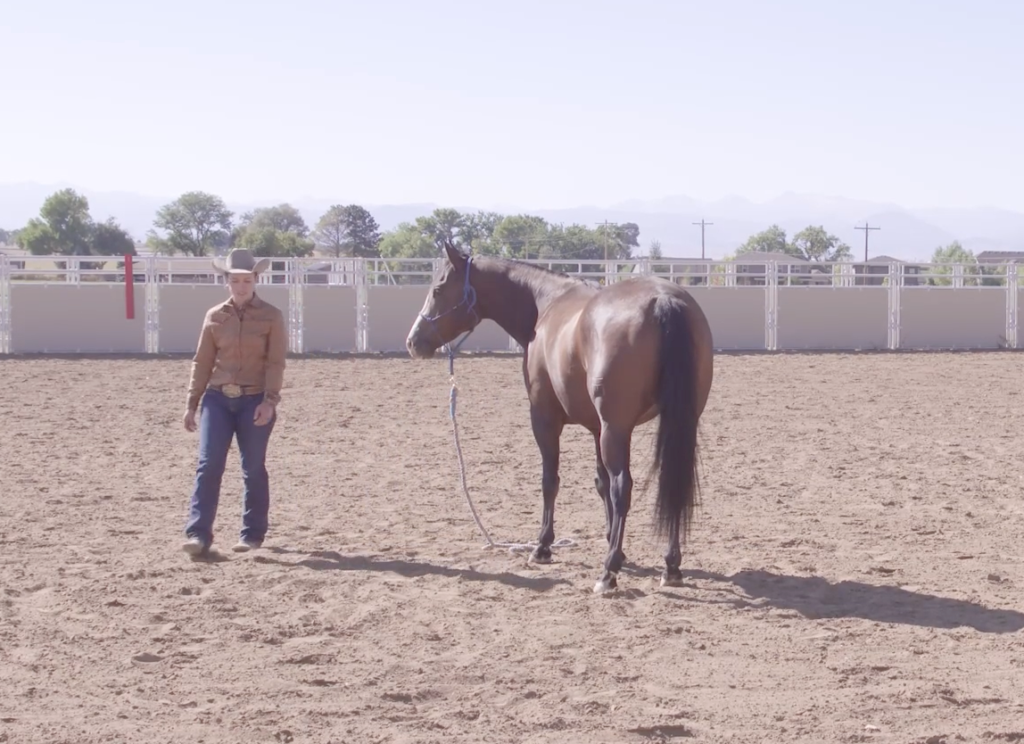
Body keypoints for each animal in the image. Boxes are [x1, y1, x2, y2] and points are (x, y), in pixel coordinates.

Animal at [405, 239, 714, 594]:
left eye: (438, 289)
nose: (413, 341)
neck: (546, 304)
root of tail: (664, 300)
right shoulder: (596, 427)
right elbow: (600, 482)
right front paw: (613, 542)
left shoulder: (545, 419)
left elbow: (550, 481)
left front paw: (543, 546)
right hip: (675, 424)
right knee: (671, 481)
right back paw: (670, 565)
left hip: (617, 429)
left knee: (623, 487)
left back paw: (608, 573)